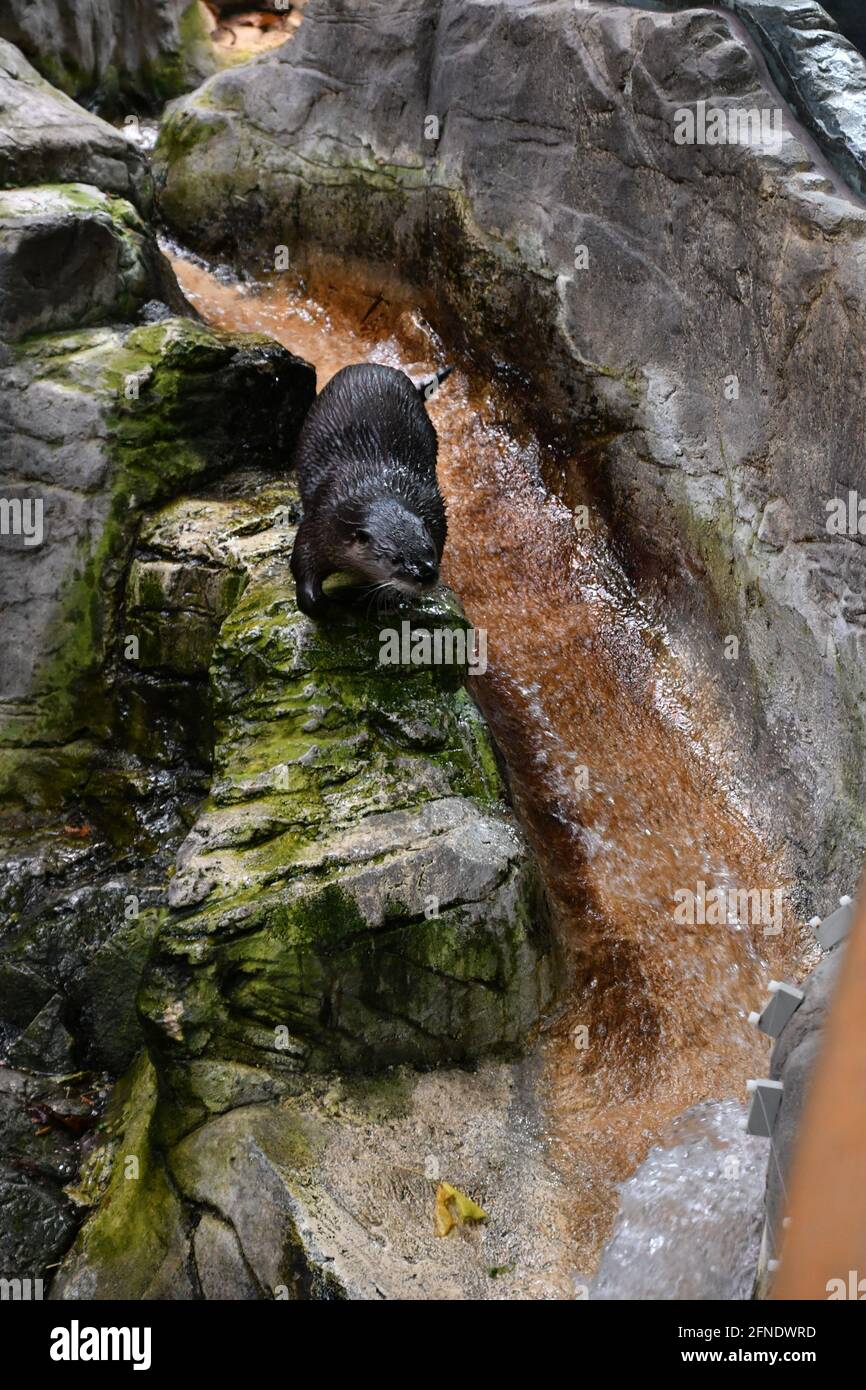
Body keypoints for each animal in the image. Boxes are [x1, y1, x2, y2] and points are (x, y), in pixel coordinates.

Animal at [291, 361, 453, 617]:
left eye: (429, 548)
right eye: (395, 558)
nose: (426, 574)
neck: (376, 484)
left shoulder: (433, 507)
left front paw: (385, 597)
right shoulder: (321, 519)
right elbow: (302, 560)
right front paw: (324, 604)